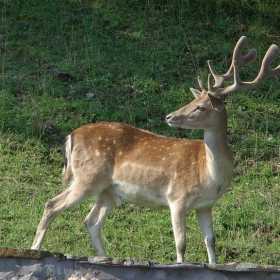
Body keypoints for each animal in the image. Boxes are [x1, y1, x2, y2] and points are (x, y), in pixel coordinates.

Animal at [30, 36, 280, 262]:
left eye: (200, 107)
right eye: (192, 101)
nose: (170, 116)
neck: (210, 175)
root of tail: (70, 136)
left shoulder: (205, 205)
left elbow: (211, 241)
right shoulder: (177, 196)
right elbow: (181, 243)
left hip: (107, 189)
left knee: (91, 221)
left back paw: (105, 258)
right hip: (88, 177)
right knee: (52, 205)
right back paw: (35, 250)